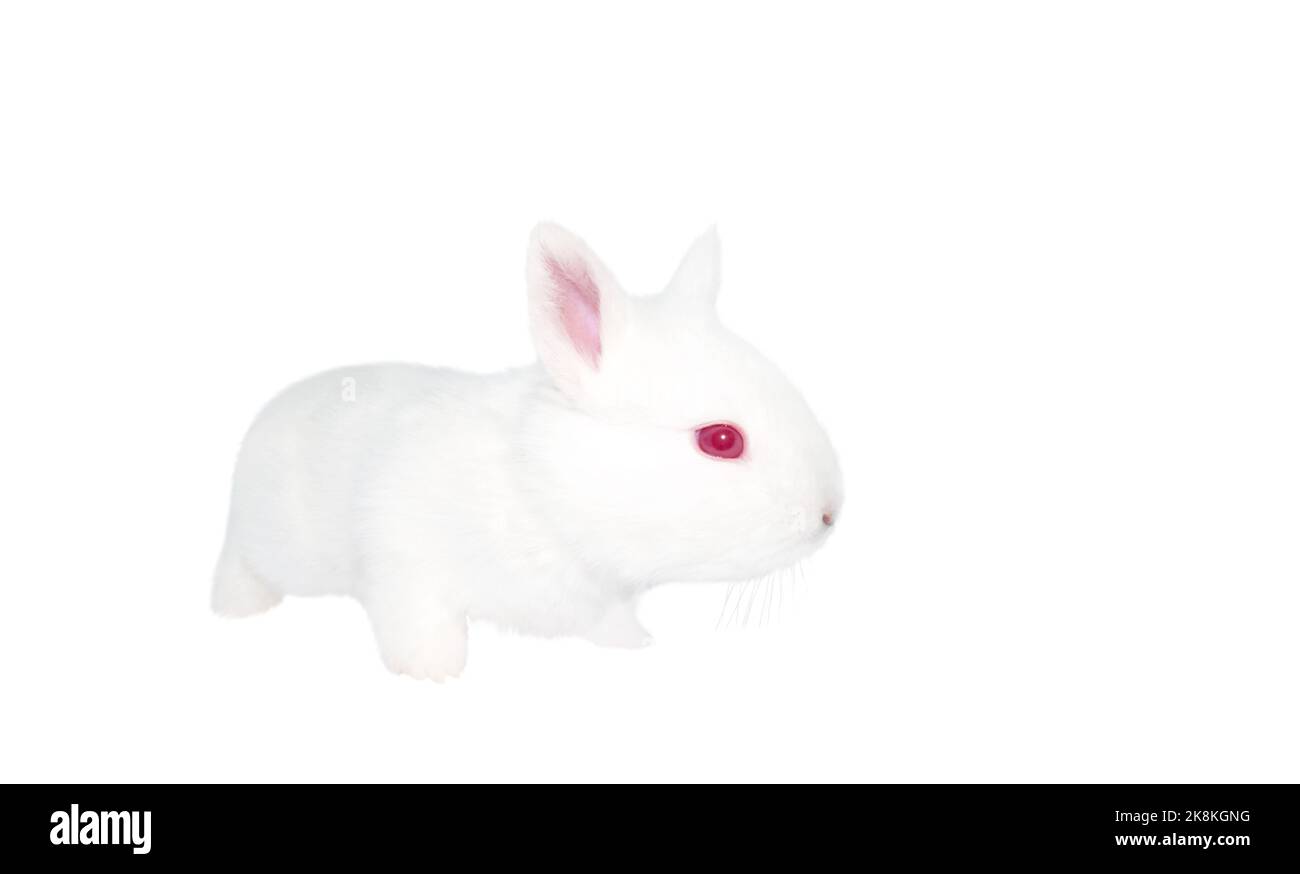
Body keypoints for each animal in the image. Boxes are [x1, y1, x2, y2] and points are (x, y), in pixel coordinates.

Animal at [212, 223, 843, 679]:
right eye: (721, 439)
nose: (829, 515)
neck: (541, 488)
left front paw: (634, 644)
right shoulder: (404, 566)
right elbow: (420, 626)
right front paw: (434, 674)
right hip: (251, 543)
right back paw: (235, 610)